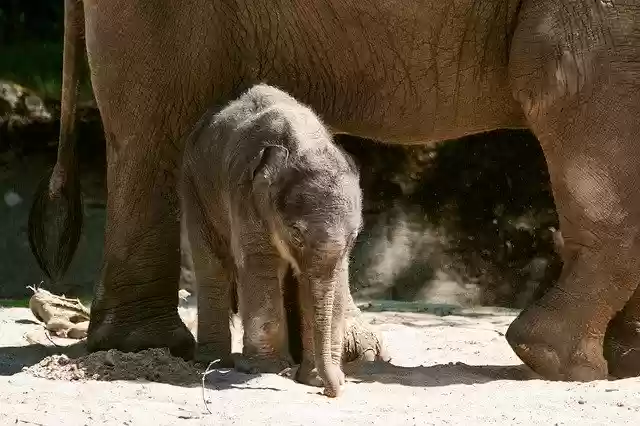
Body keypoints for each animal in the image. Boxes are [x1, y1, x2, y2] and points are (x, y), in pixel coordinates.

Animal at [180, 83, 364, 397]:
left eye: (354, 237)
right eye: (296, 234)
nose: (333, 390)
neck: (303, 144)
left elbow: (334, 280)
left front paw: (315, 378)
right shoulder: (245, 195)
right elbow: (261, 264)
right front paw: (268, 369)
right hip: (195, 187)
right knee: (213, 265)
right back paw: (215, 361)